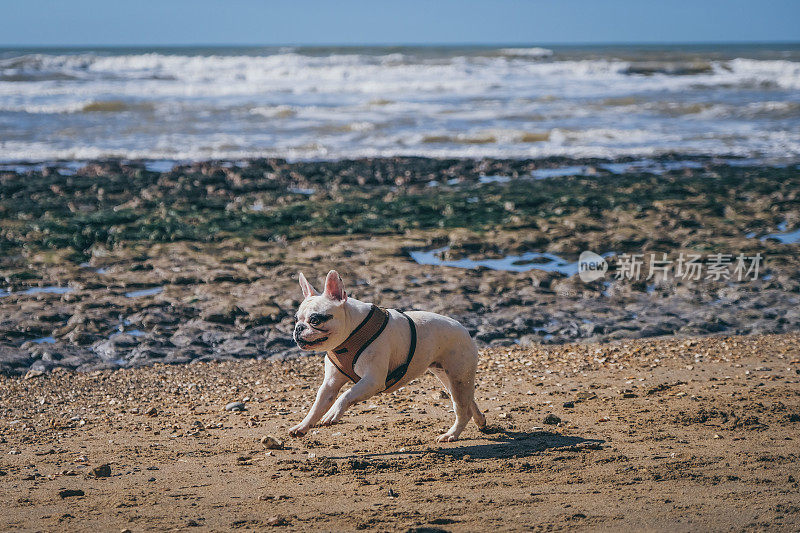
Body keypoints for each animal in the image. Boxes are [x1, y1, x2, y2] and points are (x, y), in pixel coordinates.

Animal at [290, 270, 484, 440]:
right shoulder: (329, 385)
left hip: (458, 377)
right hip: (448, 377)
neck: (351, 333)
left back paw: (451, 434)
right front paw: (303, 426)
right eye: (296, 319)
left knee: (462, 409)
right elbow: (316, 407)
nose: (298, 328)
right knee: (469, 401)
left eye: (315, 320)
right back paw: (480, 421)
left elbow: (346, 395)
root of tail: (464, 329)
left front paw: (332, 413)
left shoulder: (372, 381)